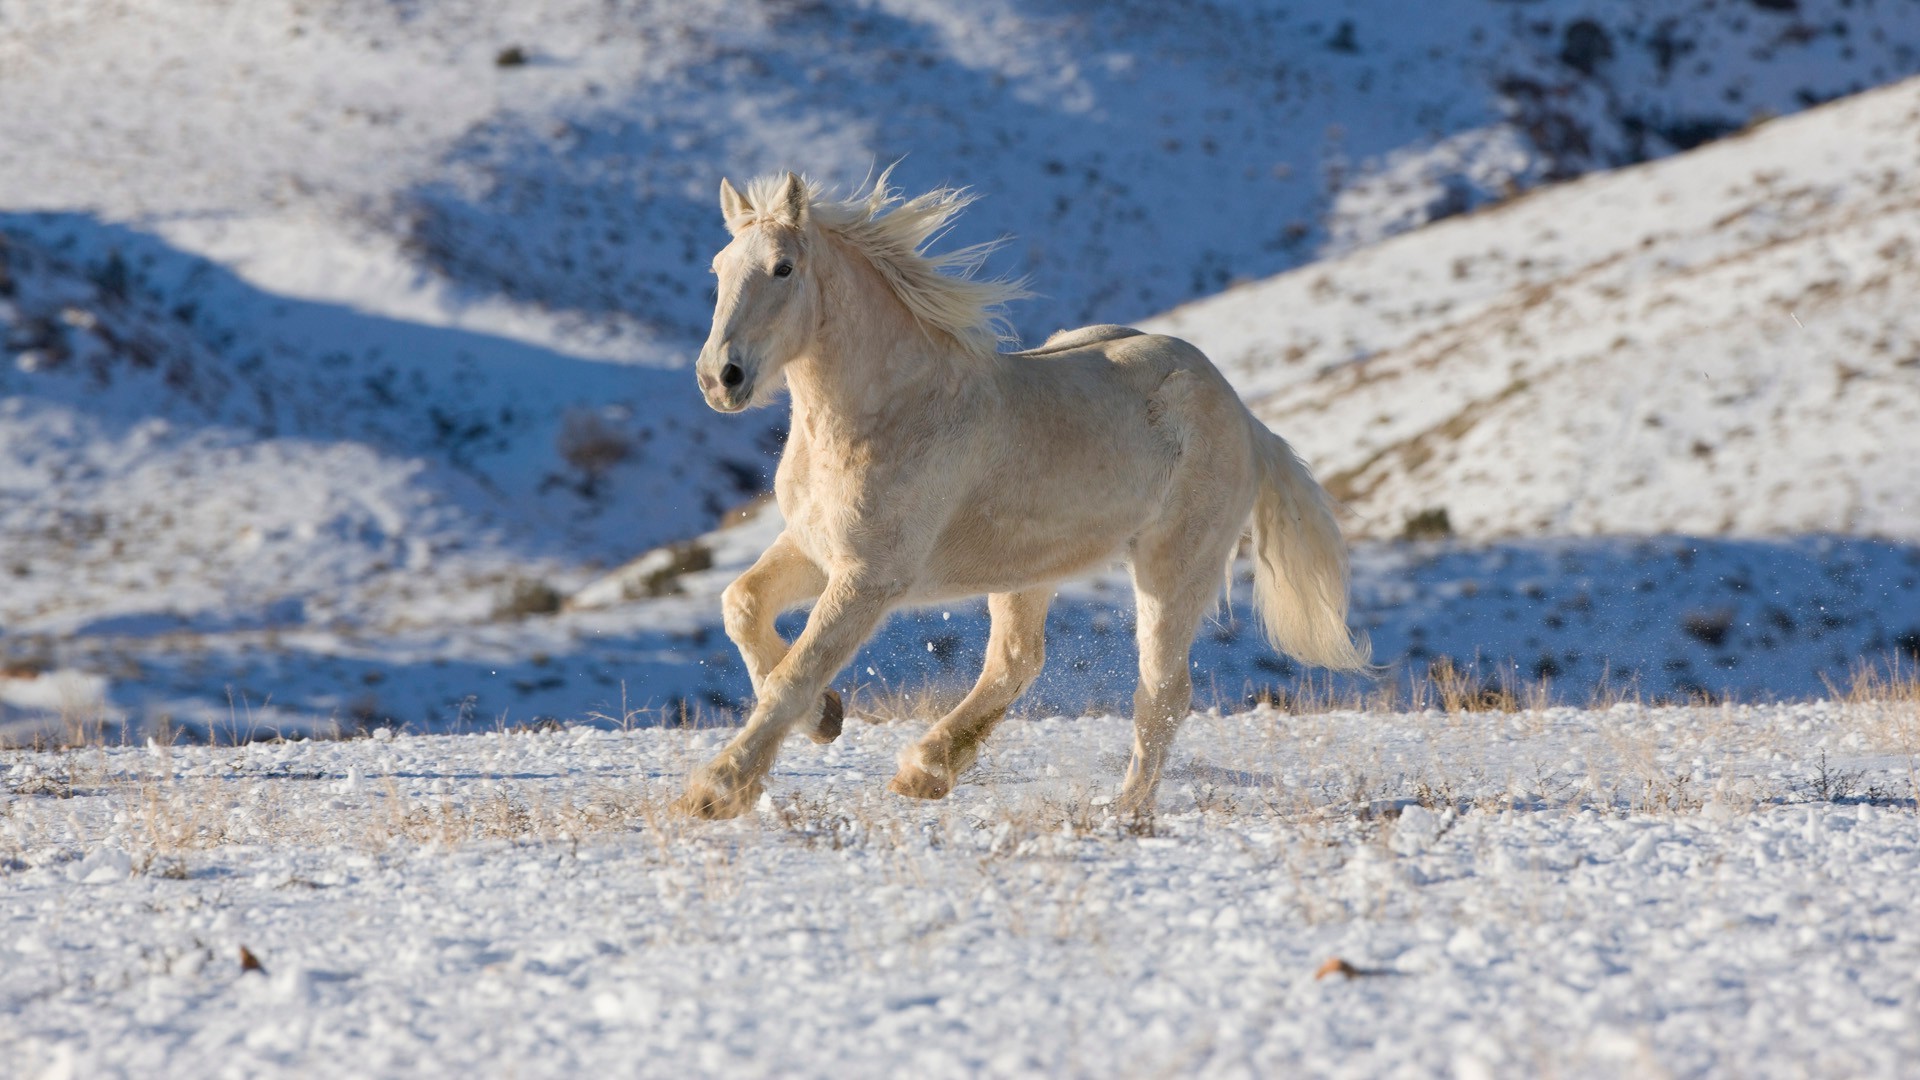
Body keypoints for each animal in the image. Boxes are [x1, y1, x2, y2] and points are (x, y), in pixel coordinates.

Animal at [675, 170, 1367, 814]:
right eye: (718, 268)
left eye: (783, 267)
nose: (719, 378)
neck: (889, 411)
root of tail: (1245, 417)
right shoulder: (816, 548)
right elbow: (742, 606)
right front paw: (825, 717)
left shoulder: (870, 576)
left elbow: (797, 670)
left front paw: (716, 789)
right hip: (1027, 569)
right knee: (1016, 660)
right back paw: (924, 772)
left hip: (1174, 566)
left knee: (1162, 692)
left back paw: (1125, 813)